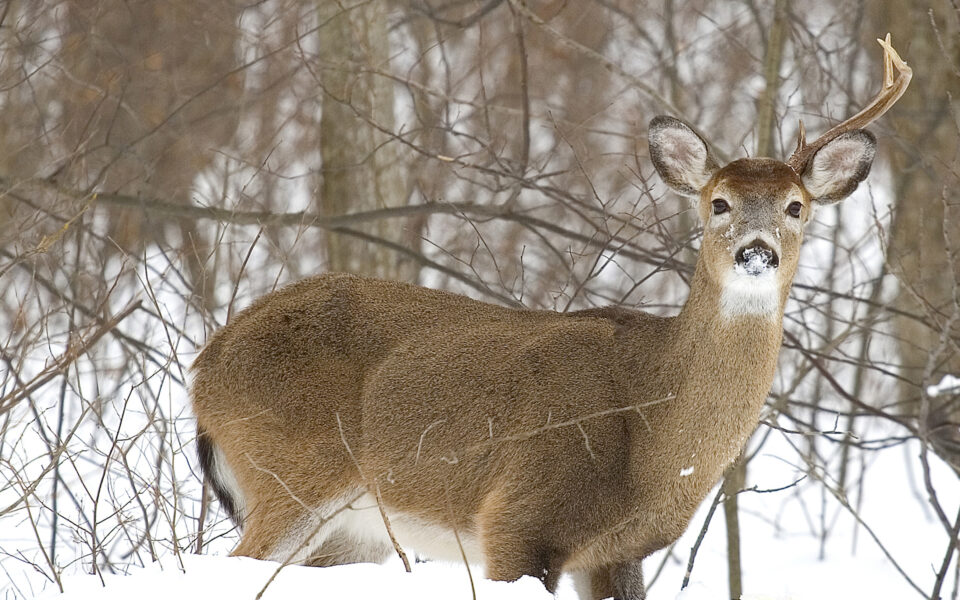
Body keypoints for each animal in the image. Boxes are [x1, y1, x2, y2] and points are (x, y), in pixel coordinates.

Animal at [191, 37, 912, 600]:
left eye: (795, 206)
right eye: (718, 203)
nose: (756, 251)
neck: (655, 437)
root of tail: (207, 366)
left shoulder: (619, 552)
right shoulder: (517, 517)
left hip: (351, 529)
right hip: (289, 468)